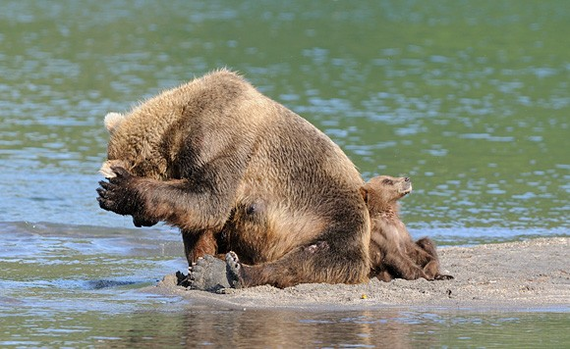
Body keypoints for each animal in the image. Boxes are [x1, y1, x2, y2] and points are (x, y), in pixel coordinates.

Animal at [95, 68, 370, 288]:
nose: (138, 222)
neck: (177, 132)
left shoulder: (221, 140)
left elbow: (209, 199)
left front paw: (114, 191)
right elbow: (201, 219)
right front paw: (196, 266)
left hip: (335, 218)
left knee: (317, 257)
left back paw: (236, 273)